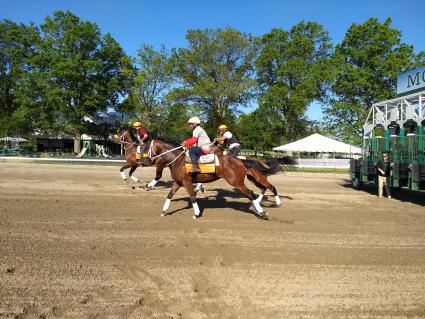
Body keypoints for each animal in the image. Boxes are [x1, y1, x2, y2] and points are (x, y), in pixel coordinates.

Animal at [141, 139, 294, 219]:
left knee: (257, 192)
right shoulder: (178, 183)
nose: (144, 162)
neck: (178, 161)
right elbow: (169, 195)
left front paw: (197, 213)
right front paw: (163, 211)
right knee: (260, 191)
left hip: (238, 182)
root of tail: (242, 161)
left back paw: (263, 211)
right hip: (252, 178)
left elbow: (193, 197)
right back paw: (259, 206)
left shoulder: (186, 182)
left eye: (145, 148)